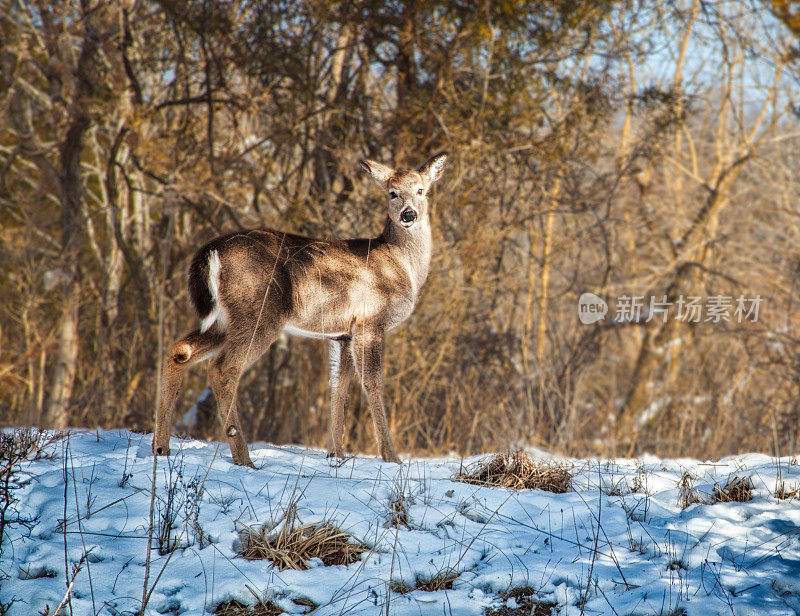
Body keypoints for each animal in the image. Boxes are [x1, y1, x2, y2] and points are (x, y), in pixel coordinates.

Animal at [153, 152, 446, 464]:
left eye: (421, 190)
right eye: (392, 192)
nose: (408, 214)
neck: (402, 266)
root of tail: (211, 251)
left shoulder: (342, 333)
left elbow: (338, 386)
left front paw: (336, 453)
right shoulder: (370, 320)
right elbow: (373, 383)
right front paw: (391, 457)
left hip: (223, 319)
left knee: (179, 351)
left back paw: (161, 447)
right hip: (259, 311)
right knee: (223, 368)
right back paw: (244, 457)